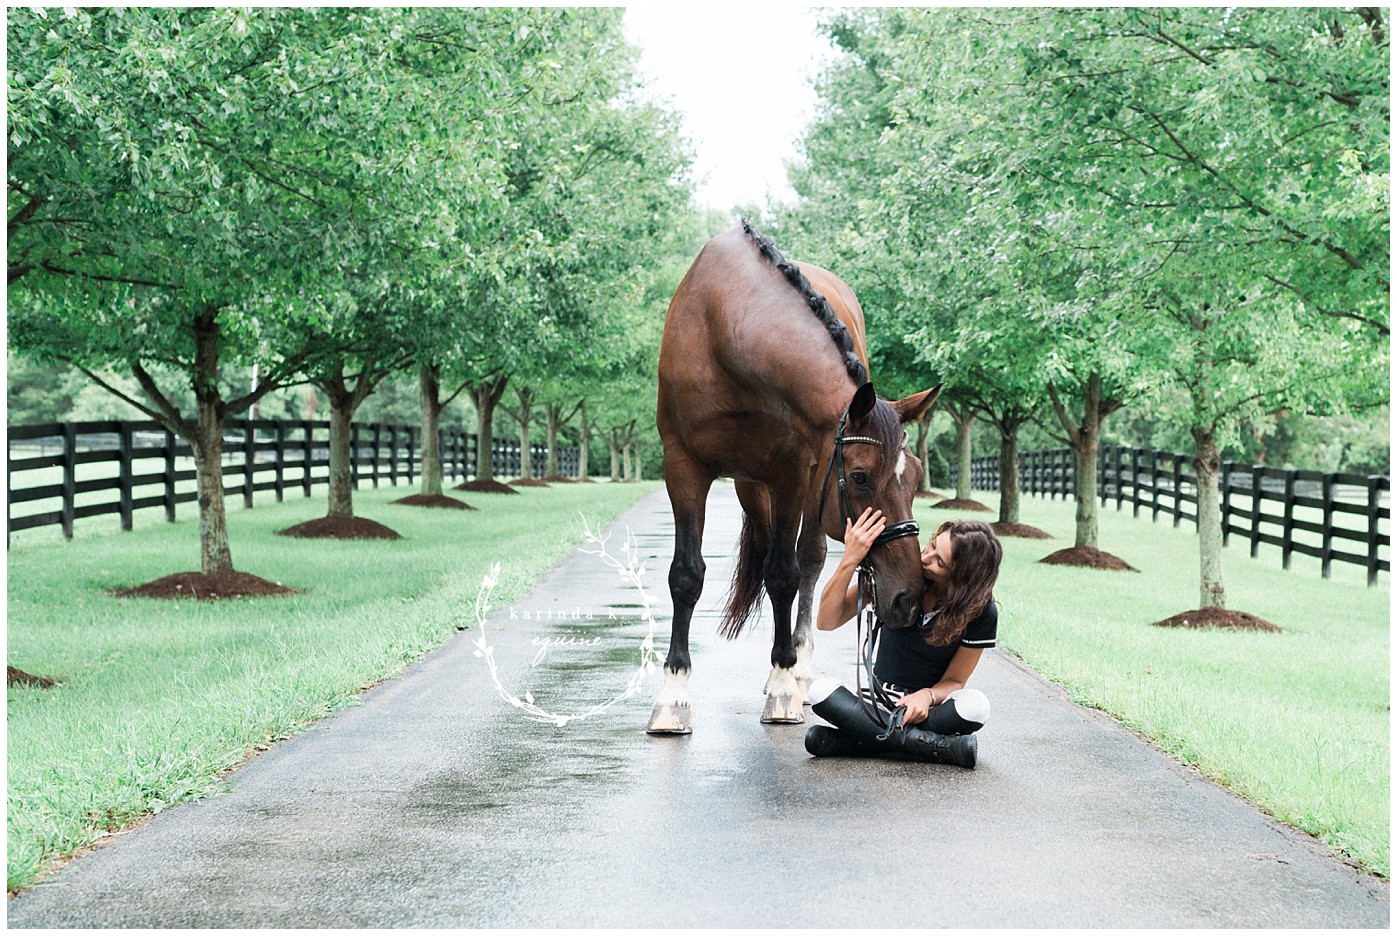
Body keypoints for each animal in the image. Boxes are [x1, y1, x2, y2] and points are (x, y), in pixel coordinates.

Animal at [649, 220, 940, 734]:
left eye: (916, 477)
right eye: (860, 477)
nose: (909, 597)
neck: (724, 326)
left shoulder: (791, 470)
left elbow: (785, 574)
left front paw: (784, 684)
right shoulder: (683, 466)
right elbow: (686, 573)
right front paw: (673, 693)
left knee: (807, 560)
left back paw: (798, 670)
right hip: (751, 487)